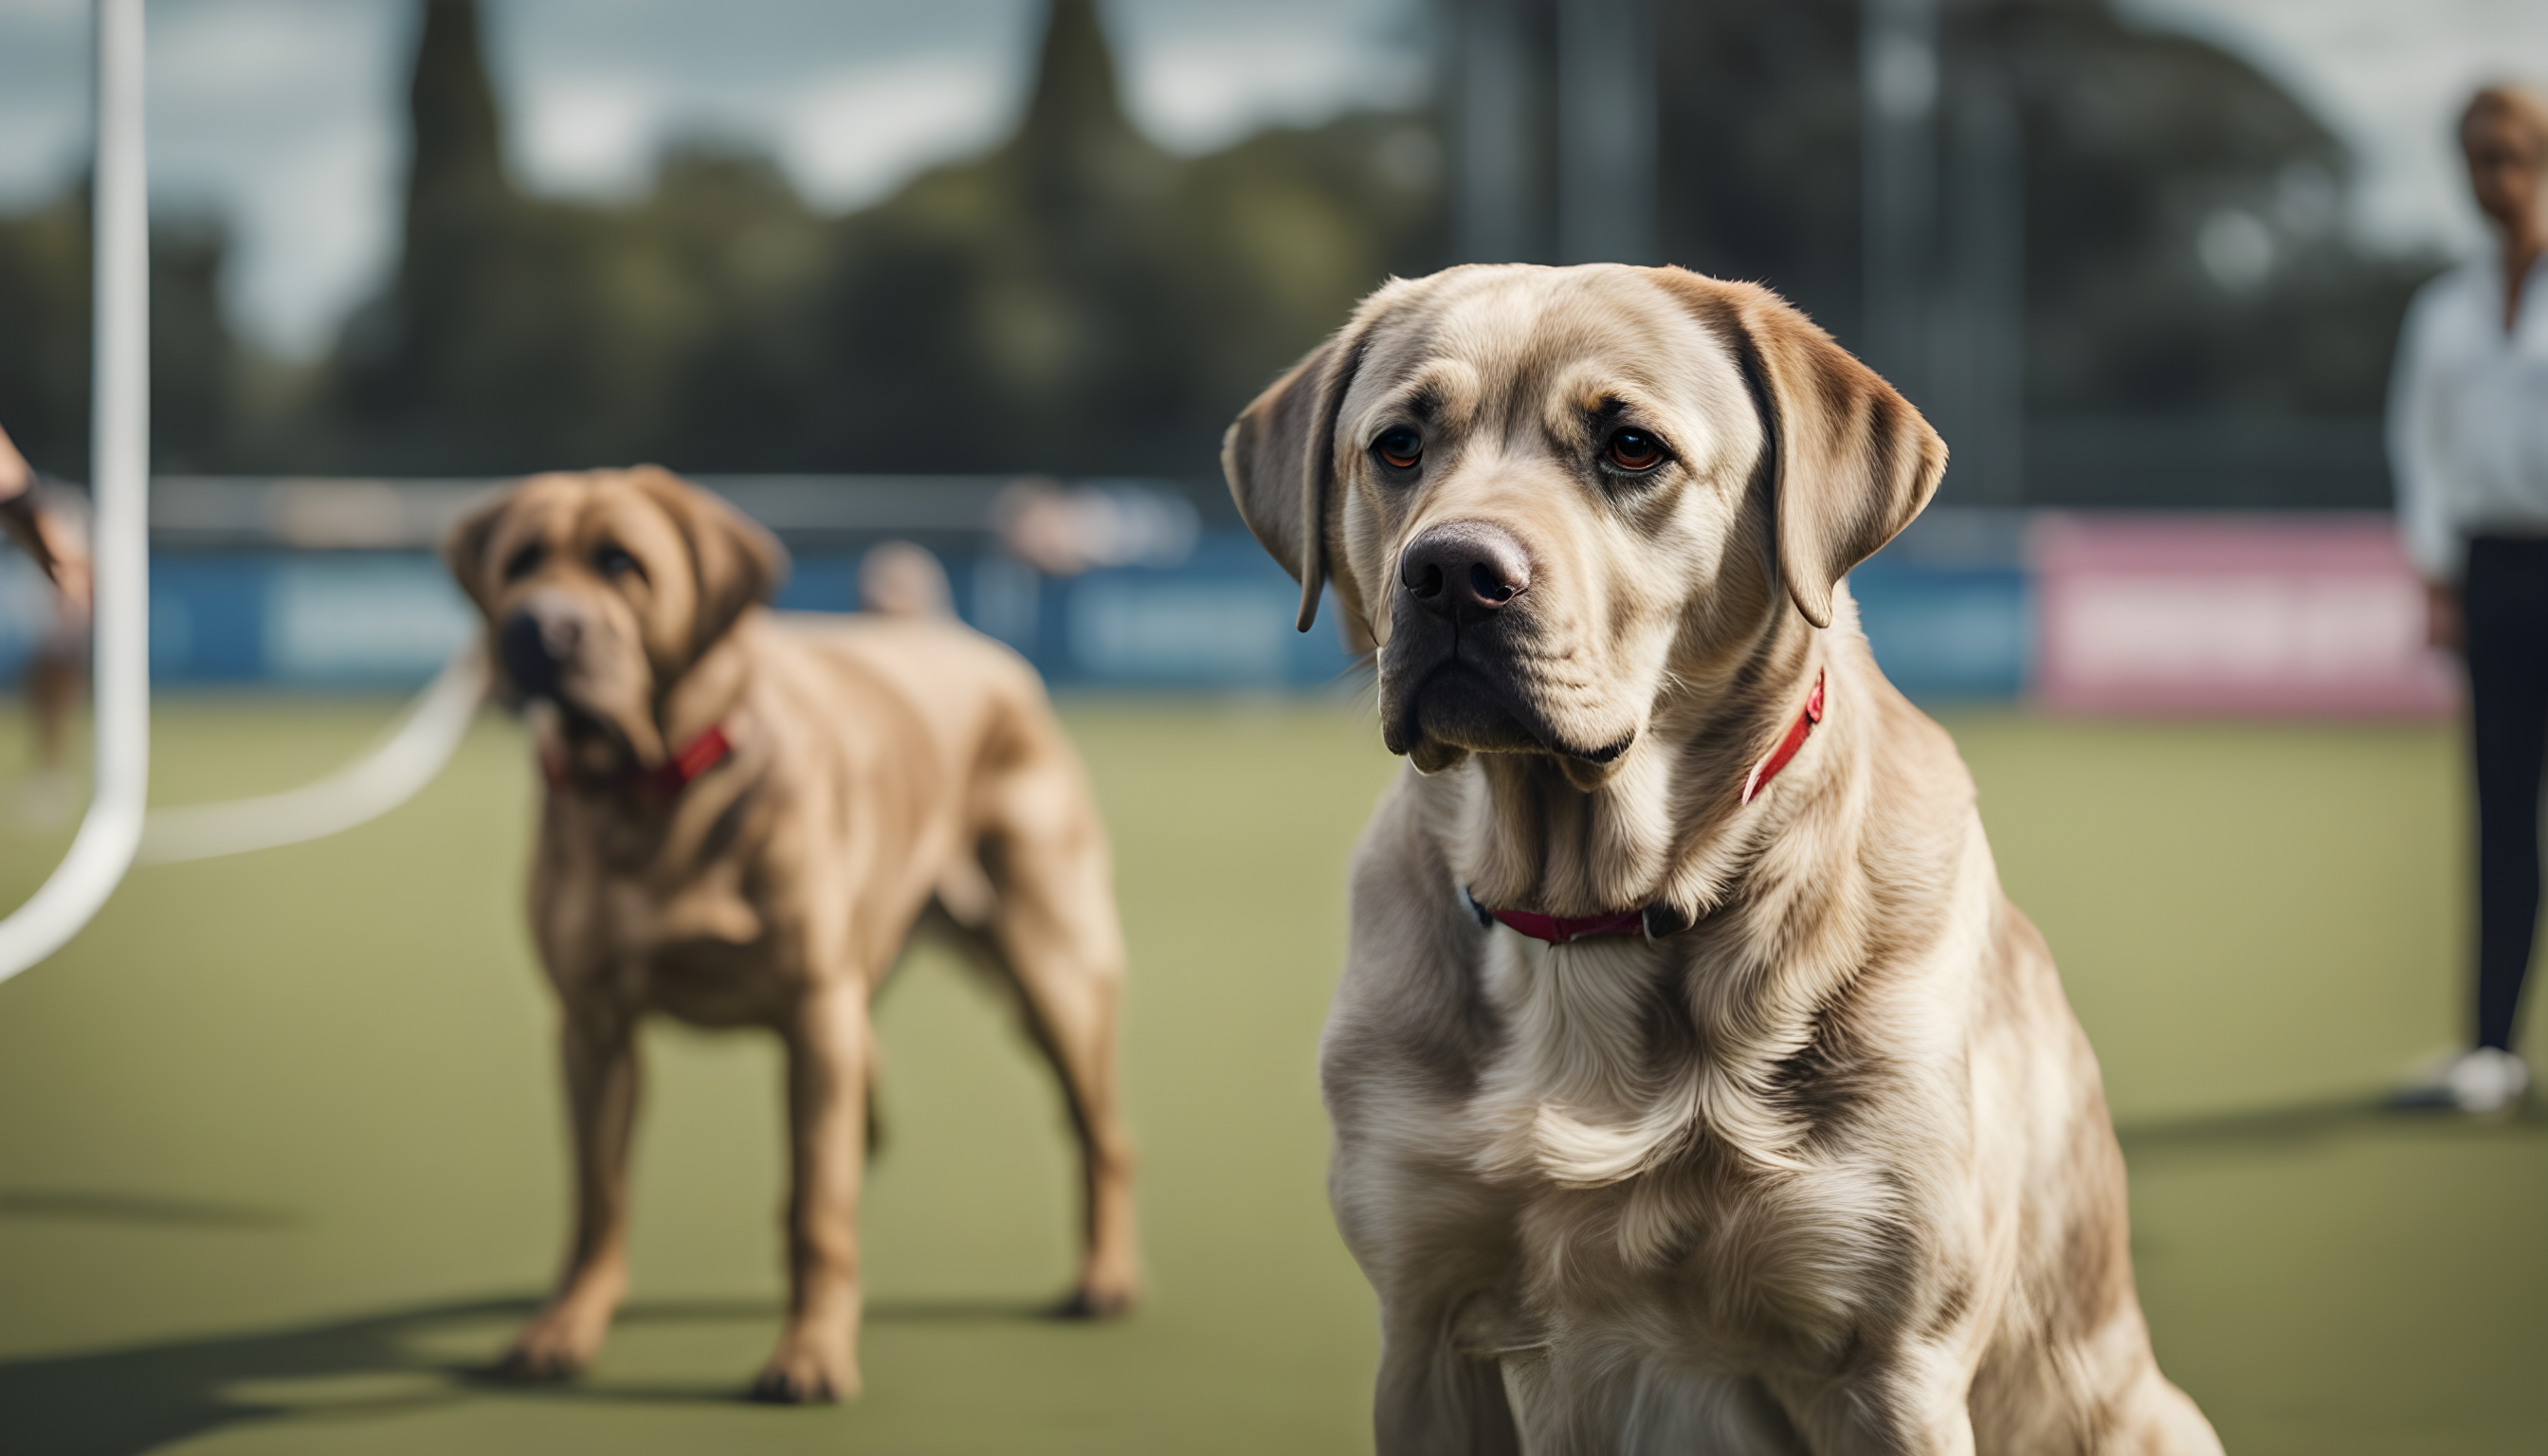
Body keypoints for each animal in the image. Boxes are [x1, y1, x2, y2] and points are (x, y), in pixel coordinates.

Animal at [450, 466, 1146, 1397]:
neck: (652, 793)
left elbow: (819, 1208)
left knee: (1101, 1135)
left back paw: (1107, 1274)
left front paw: (811, 1350)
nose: (538, 631)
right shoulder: (593, 1026)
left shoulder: (812, 1013)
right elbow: (599, 1198)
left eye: (622, 563)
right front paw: (567, 1325)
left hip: (1054, 971)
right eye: (522, 562)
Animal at [1223, 264, 2221, 1456]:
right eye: (1399, 446)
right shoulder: (1425, 1333)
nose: (1454, 572)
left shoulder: (1889, 1363)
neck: (1592, 914)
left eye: (1631, 447)